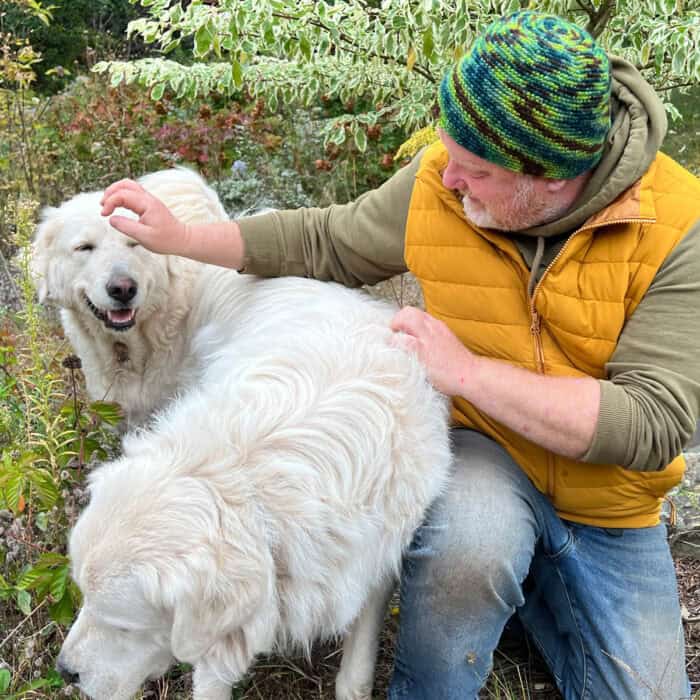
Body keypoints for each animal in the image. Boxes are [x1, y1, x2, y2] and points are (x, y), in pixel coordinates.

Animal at [53, 272, 448, 696]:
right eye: (83, 597)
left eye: (123, 626)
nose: (64, 671)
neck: (245, 475)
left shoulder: (375, 564)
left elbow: (355, 671)